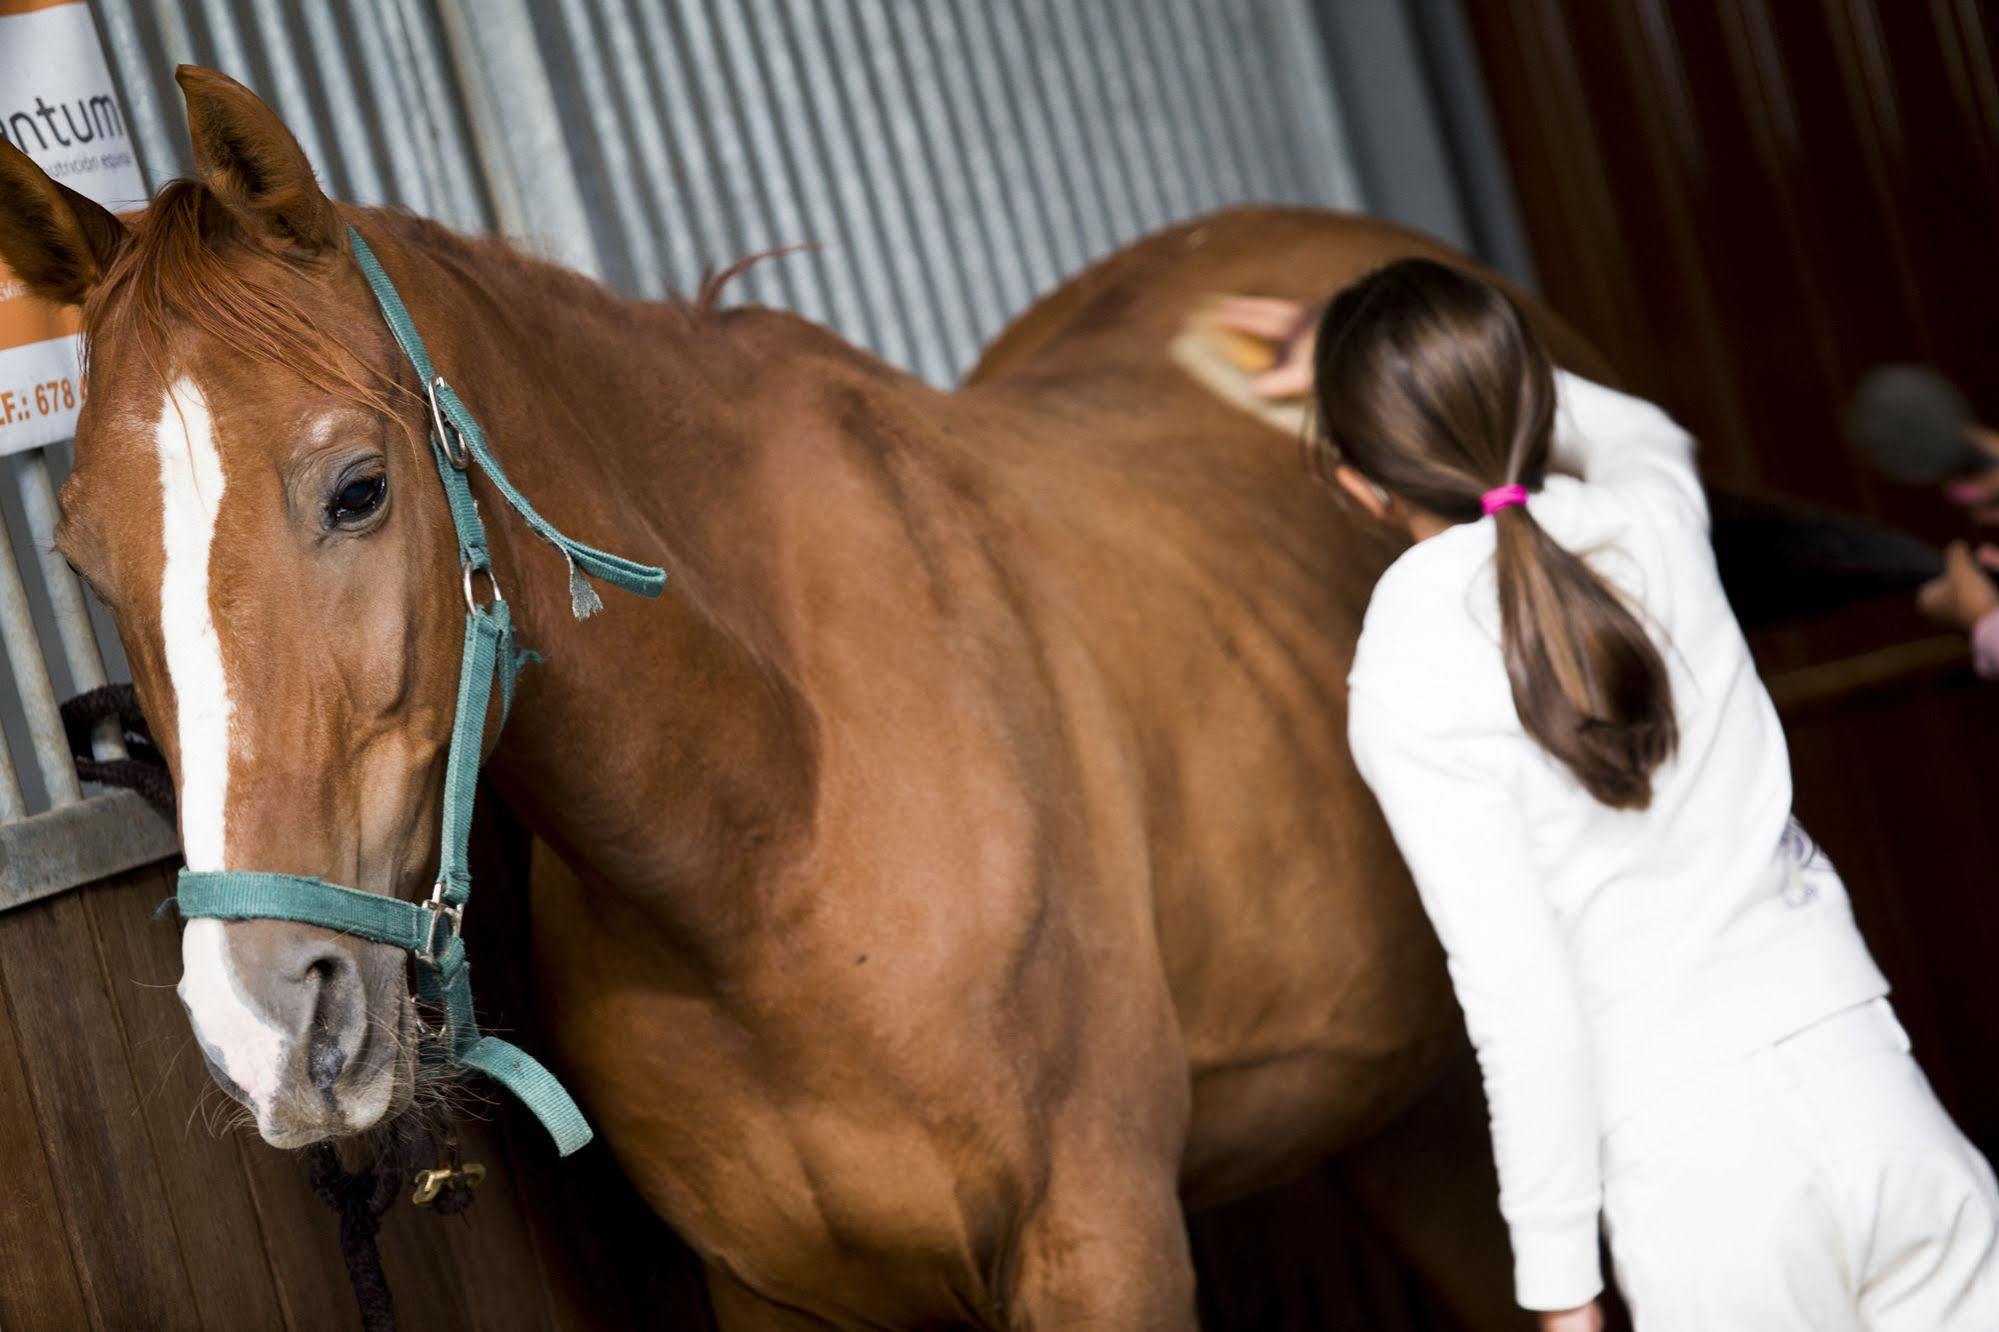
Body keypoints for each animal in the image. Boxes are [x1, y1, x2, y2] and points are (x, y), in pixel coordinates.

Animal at [0, 65, 1639, 1328]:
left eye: (356, 488)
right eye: (80, 554)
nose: (269, 1025)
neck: (778, 828)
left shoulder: (1103, 1249)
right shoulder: (777, 1294)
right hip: (1420, 1112)